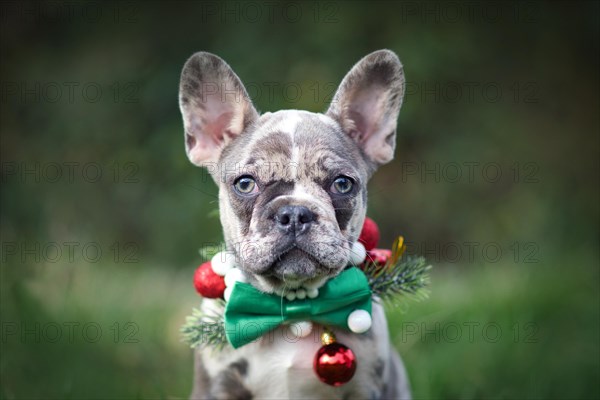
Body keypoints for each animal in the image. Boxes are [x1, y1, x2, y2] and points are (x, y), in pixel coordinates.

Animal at [180, 48, 410, 398]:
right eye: (245, 184)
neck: (292, 309)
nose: (295, 214)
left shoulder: (367, 387)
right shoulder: (217, 387)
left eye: (342, 184)